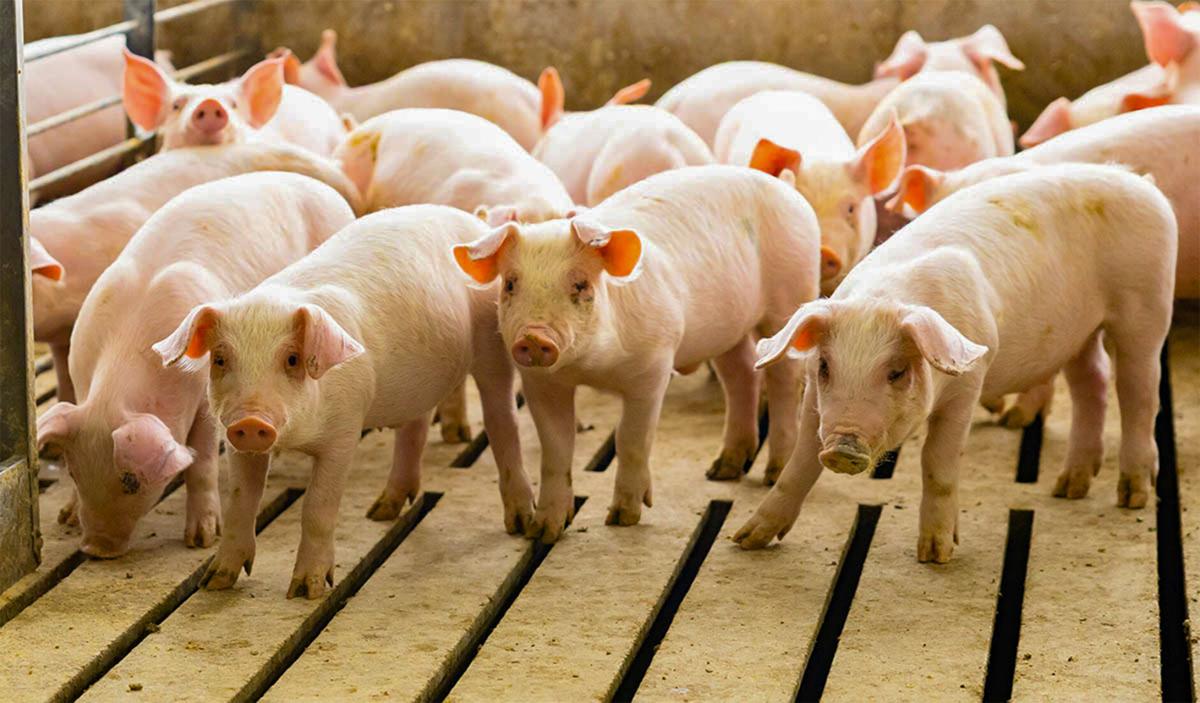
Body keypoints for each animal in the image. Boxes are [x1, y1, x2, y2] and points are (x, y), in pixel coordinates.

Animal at [35, 173, 355, 559]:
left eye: (131, 481)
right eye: (75, 473)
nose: (95, 549)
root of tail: (322, 187)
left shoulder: (206, 400)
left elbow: (201, 463)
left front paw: (201, 540)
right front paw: (66, 517)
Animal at [155, 206, 528, 599]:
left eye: (292, 359)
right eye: (220, 359)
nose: (251, 422)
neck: (298, 438)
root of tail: (475, 223)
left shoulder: (345, 430)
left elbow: (317, 506)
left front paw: (306, 591)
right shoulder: (237, 443)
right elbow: (242, 501)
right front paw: (214, 582)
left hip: (492, 342)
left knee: (502, 418)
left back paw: (519, 524)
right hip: (420, 381)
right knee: (416, 425)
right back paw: (380, 512)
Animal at [452, 166, 822, 543]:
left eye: (580, 284)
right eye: (511, 284)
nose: (535, 336)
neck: (592, 368)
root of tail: (786, 187)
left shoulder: (654, 366)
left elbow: (630, 438)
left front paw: (622, 518)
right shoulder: (542, 384)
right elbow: (556, 450)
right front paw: (542, 532)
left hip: (791, 293)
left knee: (784, 380)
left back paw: (772, 472)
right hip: (726, 328)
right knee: (742, 373)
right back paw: (721, 471)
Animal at [735, 164, 1176, 563]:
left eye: (896, 372)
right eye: (826, 366)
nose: (844, 446)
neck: (883, 297)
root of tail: (1144, 183)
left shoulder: (968, 384)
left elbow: (937, 460)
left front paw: (936, 555)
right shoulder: (816, 400)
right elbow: (801, 461)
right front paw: (746, 540)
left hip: (1146, 306)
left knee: (1138, 392)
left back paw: (1132, 496)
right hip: (1078, 333)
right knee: (1092, 383)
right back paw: (1068, 488)